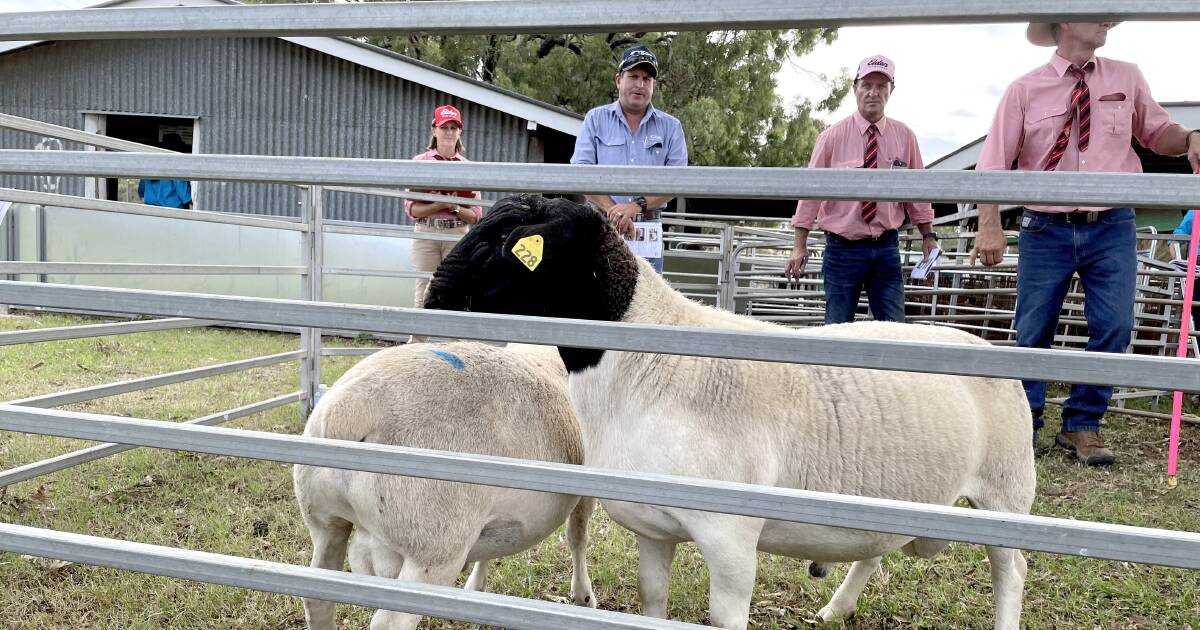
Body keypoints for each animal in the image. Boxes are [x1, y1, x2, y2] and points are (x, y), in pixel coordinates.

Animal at [290, 340, 590, 624]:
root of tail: (353, 406)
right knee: (391, 621)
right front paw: (583, 596)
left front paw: (476, 584)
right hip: (433, 550)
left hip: (324, 522)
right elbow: (577, 534)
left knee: (317, 599)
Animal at [424, 194, 1041, 628]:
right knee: (876, 550)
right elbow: (653, 603)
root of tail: (982, 341)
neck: (647, 362)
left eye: (509, 242)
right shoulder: (653, 530)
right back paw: (834, 610)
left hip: (1006, 491)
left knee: (1012, 572)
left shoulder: (732, 538)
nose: (432, 301)